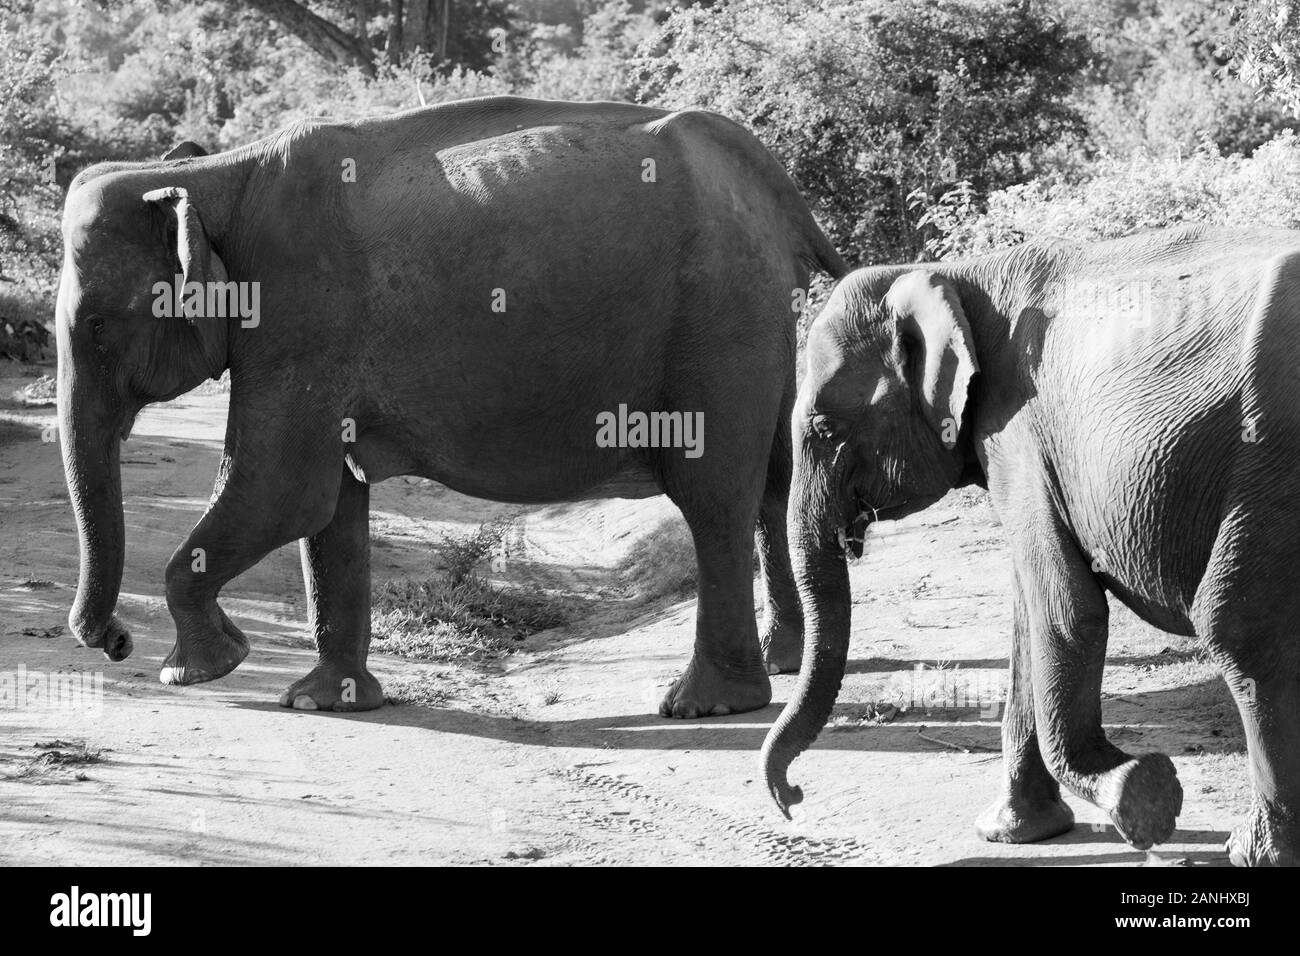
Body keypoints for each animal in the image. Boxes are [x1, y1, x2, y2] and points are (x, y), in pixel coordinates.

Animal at [55, 95, 847, 717]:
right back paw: (781, 661)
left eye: (96, 326)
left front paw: (202, 669)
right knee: (773, 481)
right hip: (756, 323)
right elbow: (329, 507)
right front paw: (323, 702)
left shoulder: (301, 314)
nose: (117, 641)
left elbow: (280, 490)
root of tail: (770, 182)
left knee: (712, 495)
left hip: (718, 317)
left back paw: (706, 703)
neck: (214, 174)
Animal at [759, 226, 1300, 868]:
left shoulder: (1018, 434)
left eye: (823, 428)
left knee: (1240, 628)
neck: (956, 275)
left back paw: (1256, 852)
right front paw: (1018, 833)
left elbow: (1065, 608)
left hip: (1270, 460)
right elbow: (1028, 618)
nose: (792, 800)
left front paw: (1144, 796)